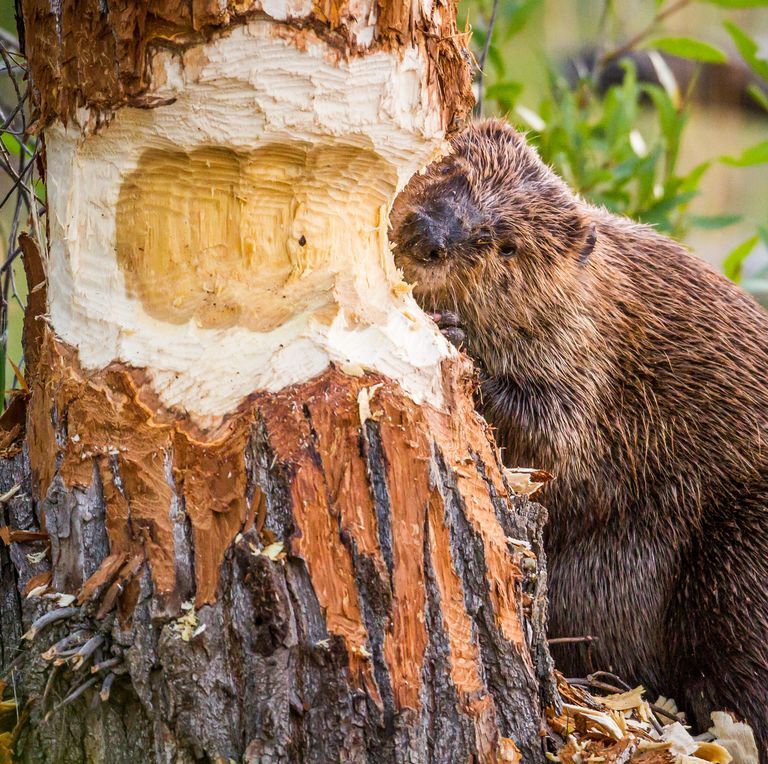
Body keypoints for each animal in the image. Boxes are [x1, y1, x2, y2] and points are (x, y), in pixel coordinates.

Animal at [392, 118, 768, 752]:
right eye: (450, 169)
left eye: (507, 243)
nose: (428, 236)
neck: (595, 293)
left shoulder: (592, 358)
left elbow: (560, 442)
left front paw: (455, 337)